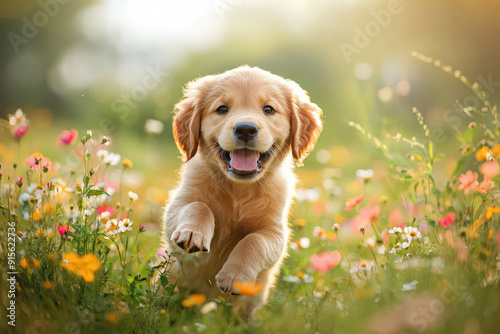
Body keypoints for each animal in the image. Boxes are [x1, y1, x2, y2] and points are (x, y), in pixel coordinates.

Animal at [162, 65, 322, 318]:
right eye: (222, 109)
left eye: (268, 109)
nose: (245, 129)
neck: (238, 189)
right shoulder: (176, 208)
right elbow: (198, 206)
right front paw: (192, 233)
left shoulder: (276, 233)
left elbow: (254, 240)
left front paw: (235, 276)